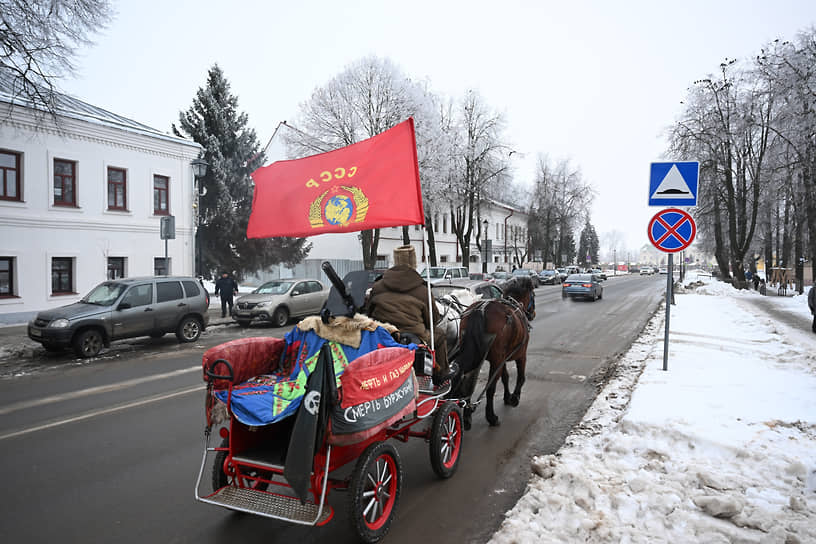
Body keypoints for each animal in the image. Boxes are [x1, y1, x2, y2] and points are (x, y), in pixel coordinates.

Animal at [452, 276, 536, 430]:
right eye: (533, 294)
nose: (533, 313)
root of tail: (481, 310)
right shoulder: (520, 354)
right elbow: (521, 377)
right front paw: (515, 397)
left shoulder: (502, 358)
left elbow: (505, 377)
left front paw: (507, 397)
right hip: (497, 359)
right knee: (490, 388)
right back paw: (491, 417)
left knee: (467, 379)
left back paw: (466, 416)